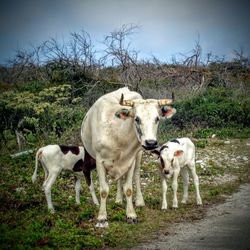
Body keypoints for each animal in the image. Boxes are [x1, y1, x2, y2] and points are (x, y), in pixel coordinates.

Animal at [81, 87, 175, 228]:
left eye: (157, 118)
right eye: (136, 119)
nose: (151, 143)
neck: (118, 136)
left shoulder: (130, 160)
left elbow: (129, 189)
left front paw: (131, 215)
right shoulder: (99, 161)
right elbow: (103, 190)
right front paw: (102, 217)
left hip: (138, 154)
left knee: (136, 176)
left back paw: (139, 201)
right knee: (120, 179)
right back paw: (119, 200)